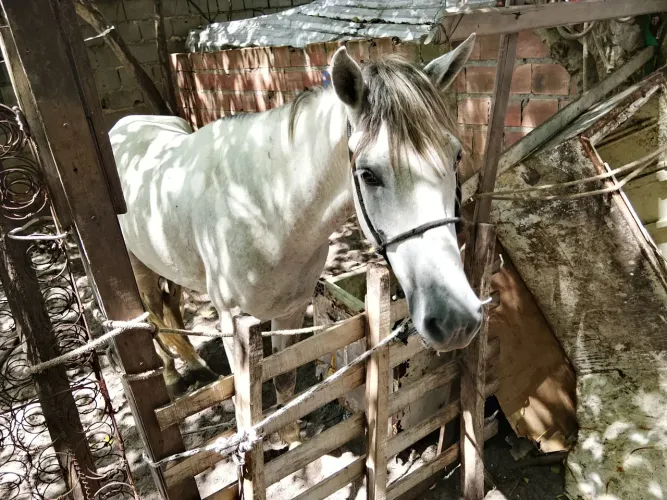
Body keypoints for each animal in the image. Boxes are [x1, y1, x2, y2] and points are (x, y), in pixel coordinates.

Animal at [109, 33, 482, 446]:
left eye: (456, 156)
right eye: (368, 174)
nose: (456, 320)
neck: (264, 210)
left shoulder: (290, 307)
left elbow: (285, 379)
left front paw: (291, 440)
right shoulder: (233, 324)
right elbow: (243, 407)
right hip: (138, 266)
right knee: (153, 313)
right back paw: (172, 375)